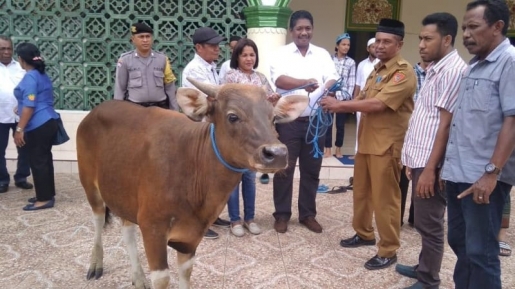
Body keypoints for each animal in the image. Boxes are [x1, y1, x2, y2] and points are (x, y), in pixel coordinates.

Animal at [76, 77, 308, 286]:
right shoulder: (152, 228)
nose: (277, 153)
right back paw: (95, 265)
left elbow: (186, 274)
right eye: (232, 116)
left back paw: (138, 278)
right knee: (98, 220)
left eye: (274, 118)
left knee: (127, 230)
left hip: (123, 194)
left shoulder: (191, 236)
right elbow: (162, 279)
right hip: (89, 185)